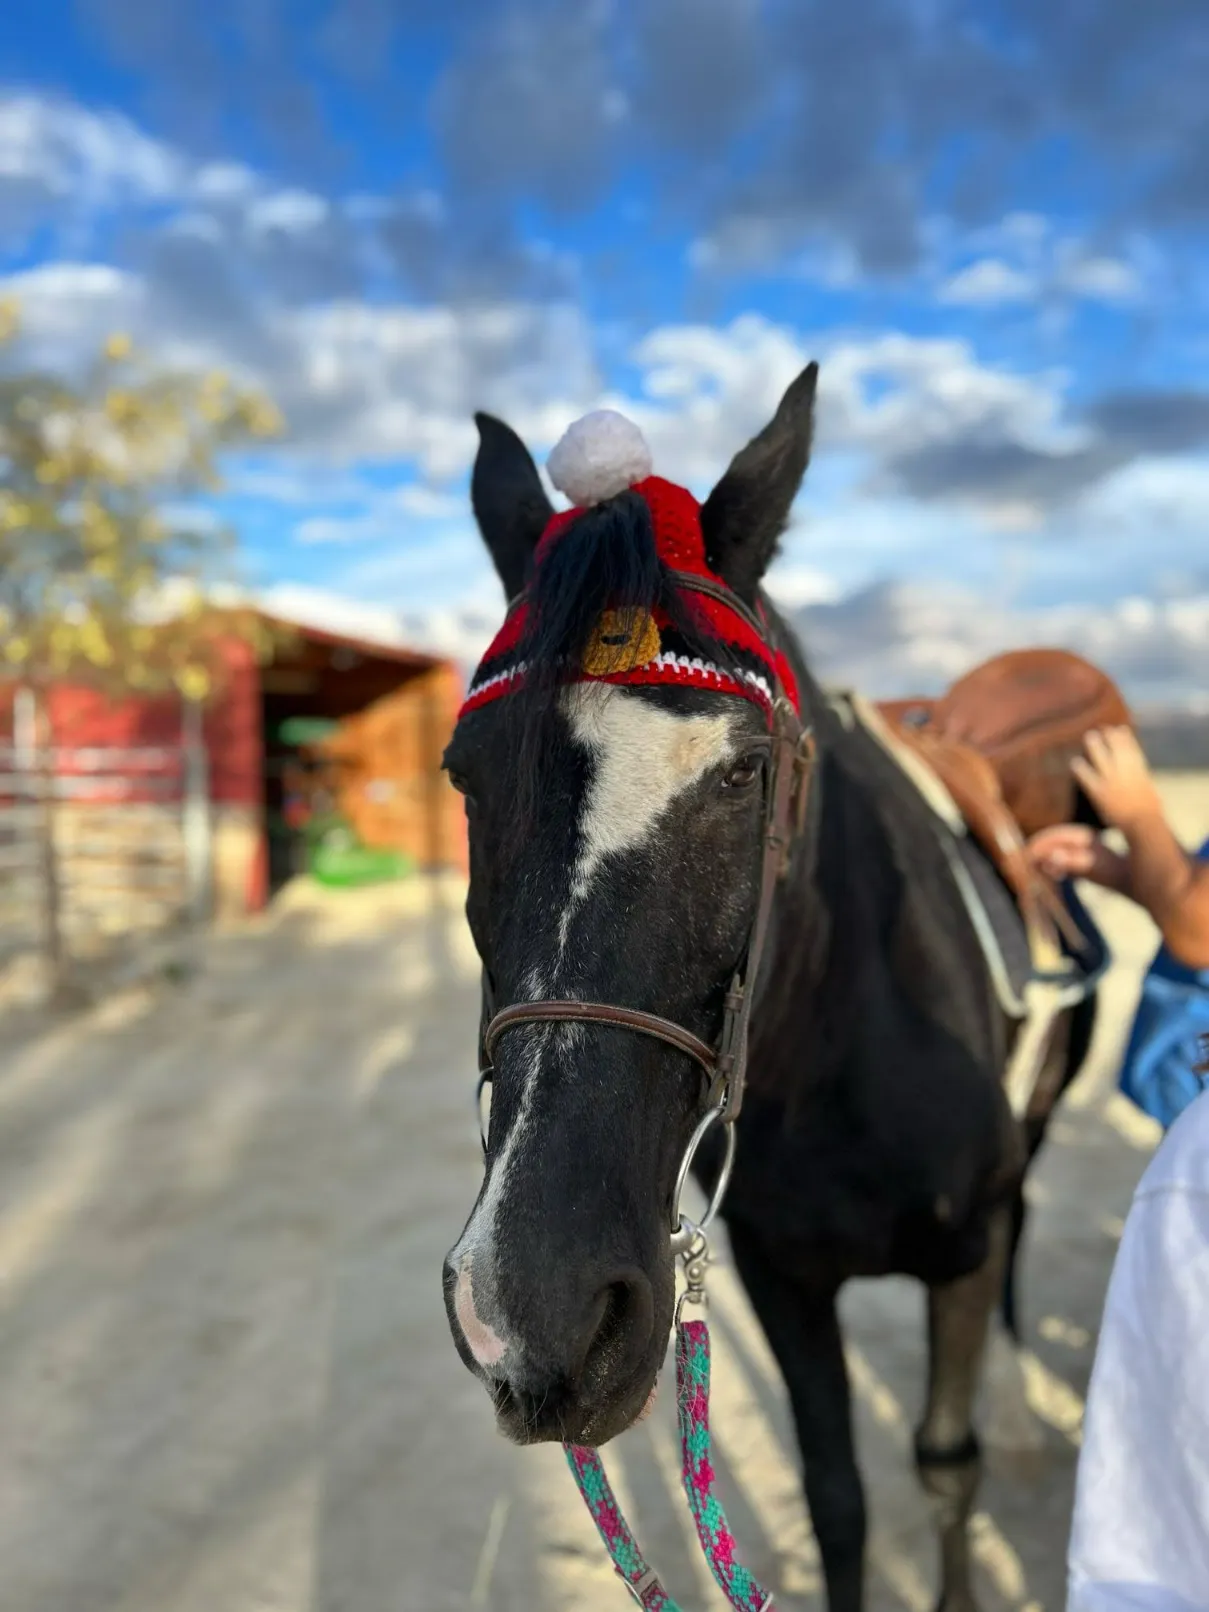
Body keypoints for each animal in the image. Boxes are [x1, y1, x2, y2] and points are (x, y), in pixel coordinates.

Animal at [441, 365, 1095, 1612]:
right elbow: (837, 1495)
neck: (841, 1045)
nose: (533, 1310)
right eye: (463, 775)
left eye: (746, 768)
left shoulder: (963, 1252)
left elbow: (946, 1464)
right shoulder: (783, 1275)